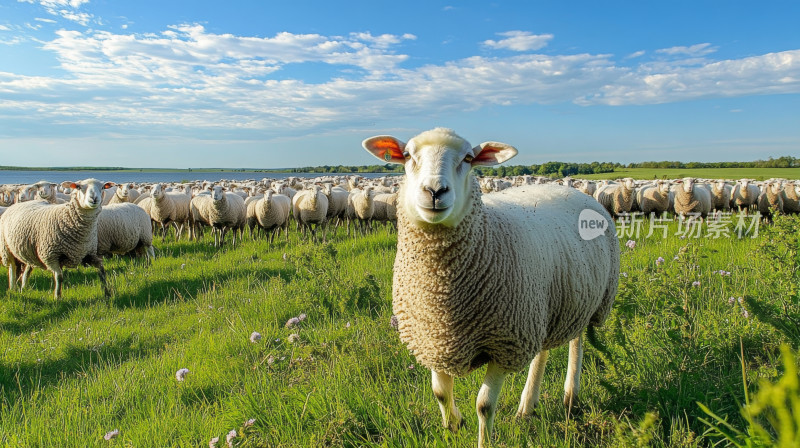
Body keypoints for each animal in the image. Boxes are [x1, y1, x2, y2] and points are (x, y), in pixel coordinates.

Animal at [362, 128, 620, 446]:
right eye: (408, 155)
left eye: (468, 159)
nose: (435, 191)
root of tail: (574, 190)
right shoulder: (432, 337)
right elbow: (440, 392)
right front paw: (453, 426)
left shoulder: (503, 343)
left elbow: (484, 405)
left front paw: (482, 438)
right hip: (544, 307)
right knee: (542, 351)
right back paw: (527, 405)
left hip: (586, 301)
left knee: (577, 341)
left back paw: (570, 394)